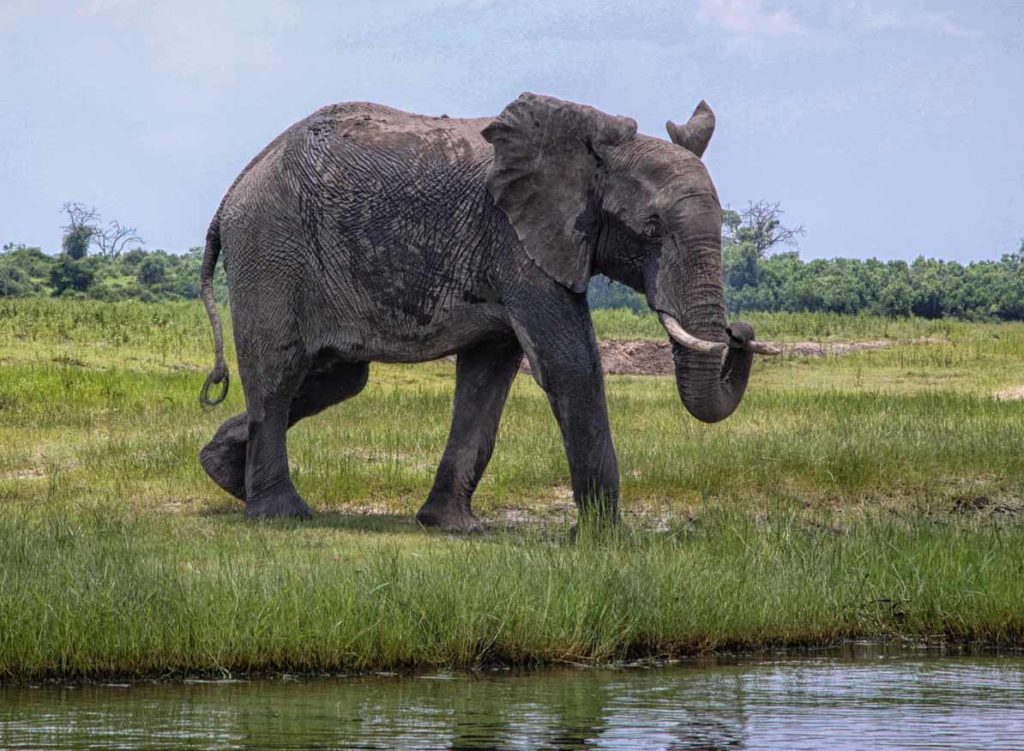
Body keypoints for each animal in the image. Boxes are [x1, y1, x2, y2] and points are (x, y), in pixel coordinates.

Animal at [197, 92, 774, 528]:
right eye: (651, 228)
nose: (741, 331)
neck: (593, 153)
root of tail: (233, 190)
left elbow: (488, 377)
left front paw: (452, 527)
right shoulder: (517, 240)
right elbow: (572, 365)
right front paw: (604, 538)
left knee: (336, 378)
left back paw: (222, 472)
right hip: (272, 248)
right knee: (280, 371)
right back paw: (281, 515)